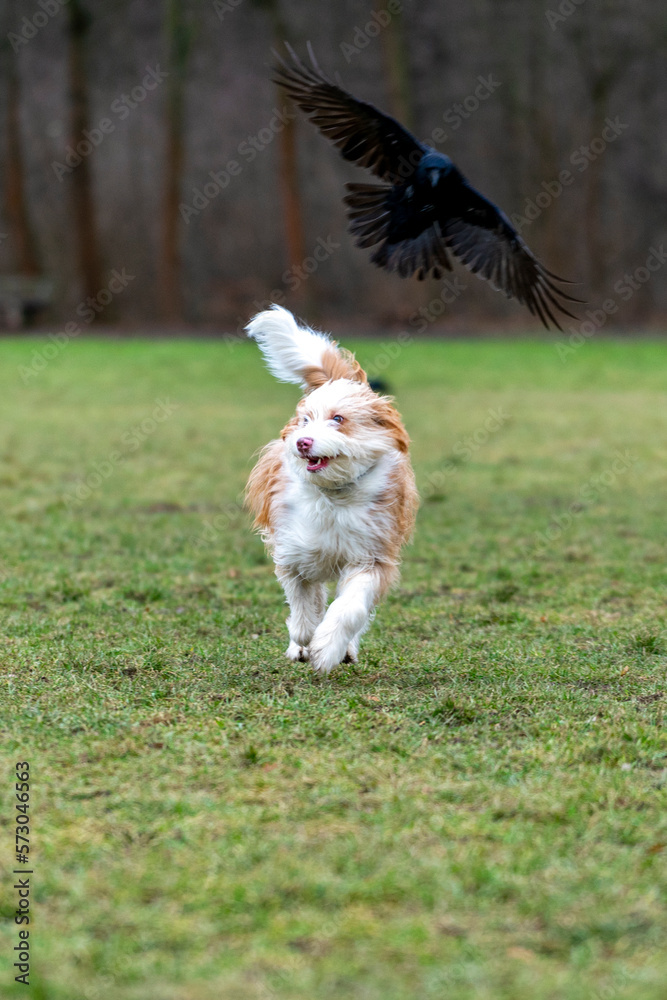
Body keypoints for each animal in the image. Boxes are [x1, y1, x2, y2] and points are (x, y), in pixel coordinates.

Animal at [245, 306, 418, 672]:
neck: (333, 496)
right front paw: (306, 641)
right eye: (306, 420)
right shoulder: (295, 554)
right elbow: (304, 609)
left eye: (338, 419)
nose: (303, 441)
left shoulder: (371, 556)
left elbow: (350, 608)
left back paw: (345, 649)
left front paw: (327, 648)